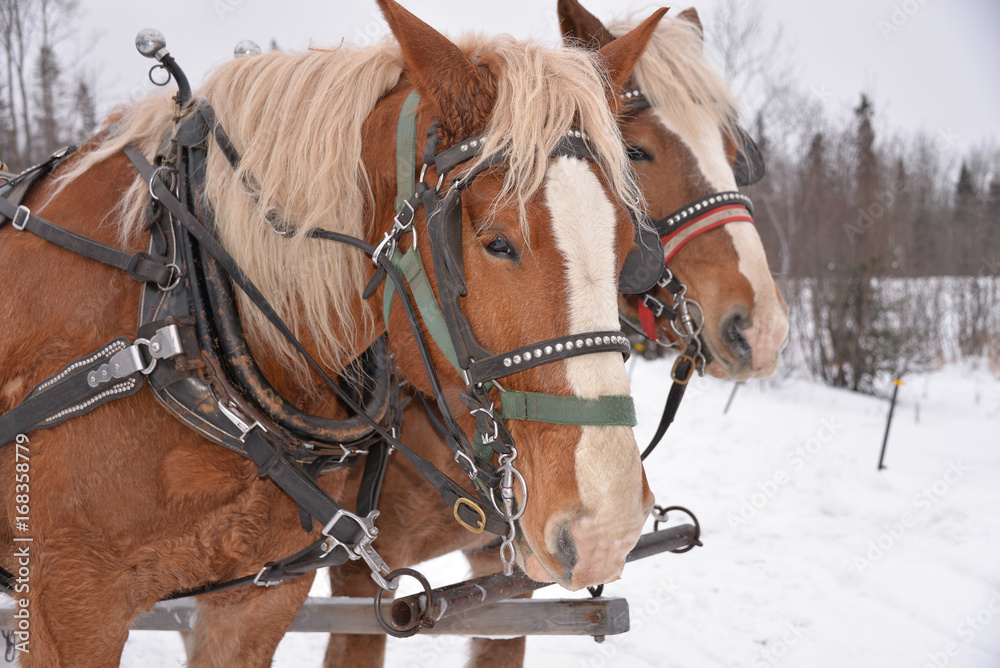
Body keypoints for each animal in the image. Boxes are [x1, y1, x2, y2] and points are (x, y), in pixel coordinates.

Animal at [0, 0, 670, 663]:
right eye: (497, 243)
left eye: (628, 243)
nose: (606, 529)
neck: (177, 315)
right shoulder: (70, 606)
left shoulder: (255, 602)